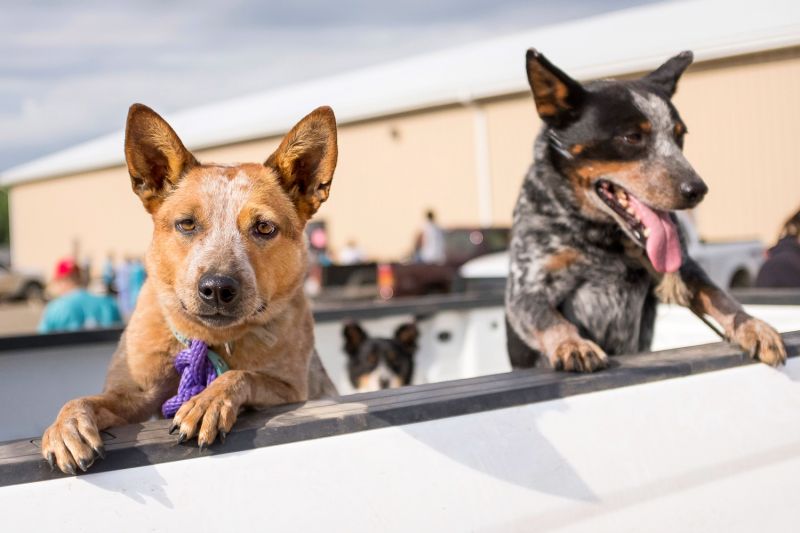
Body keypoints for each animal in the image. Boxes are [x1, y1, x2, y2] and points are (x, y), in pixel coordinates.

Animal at [42, 104, 340, 474]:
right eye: (187, 224)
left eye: (264, 227)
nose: (217, 288)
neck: (208, 339)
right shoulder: (136, 395)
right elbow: (83, 400)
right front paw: (66, 427)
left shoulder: (292, 389)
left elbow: (243, 374)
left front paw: (207, 402)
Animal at [506, 50, 788, 372]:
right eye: (632, 137)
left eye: (680, 135)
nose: (697, 189)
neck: (603, 237)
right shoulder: (525, 291)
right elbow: (549, 318)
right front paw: (573, 344)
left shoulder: (684, 268)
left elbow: (720, 295)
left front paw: (755, 326)